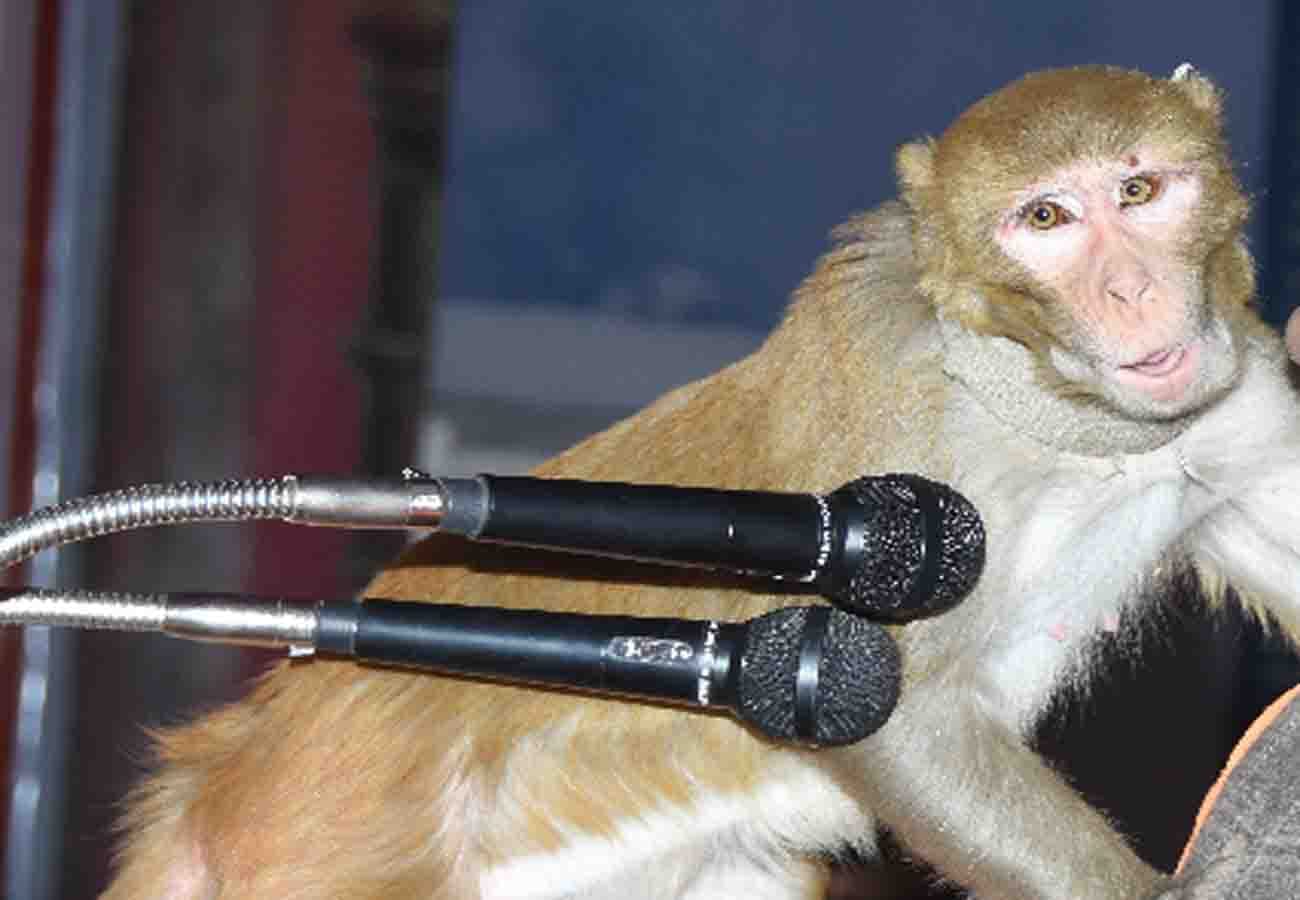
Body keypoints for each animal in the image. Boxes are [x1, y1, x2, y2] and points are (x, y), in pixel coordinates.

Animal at [101, 64, 1297, 899]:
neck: (1054, 416)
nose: (1132, 290)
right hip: (331, 852)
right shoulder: (905, 436)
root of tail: (231, 760)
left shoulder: (1234, 394)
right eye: (1045, 218)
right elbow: (892, 710)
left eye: (1140, 190)